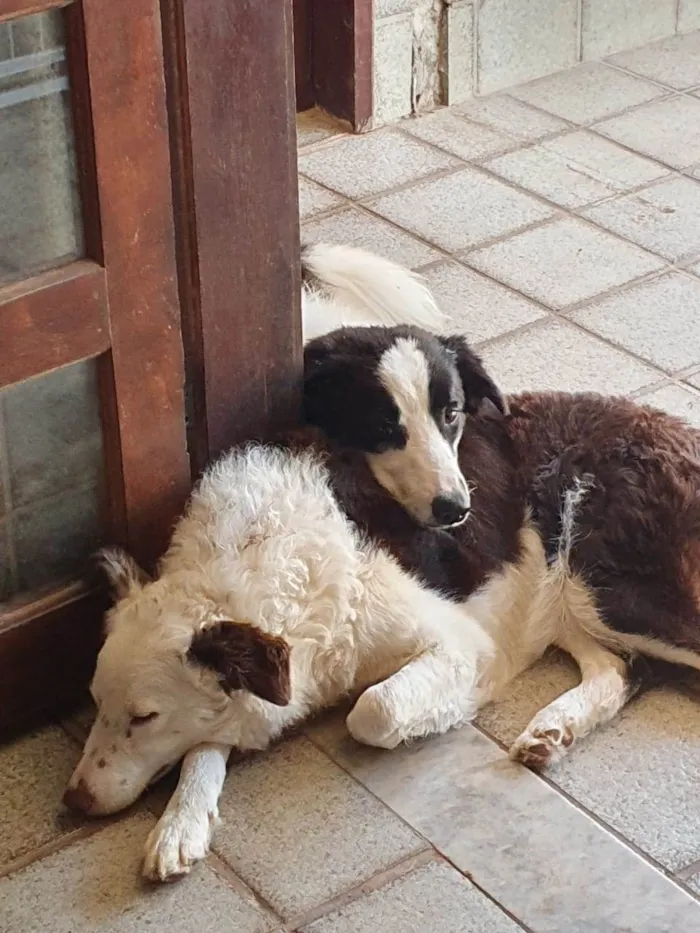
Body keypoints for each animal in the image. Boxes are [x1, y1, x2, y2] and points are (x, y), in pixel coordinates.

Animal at [64, 240, 700, 880]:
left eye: (143, 718)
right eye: (95, 704)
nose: (73, 801)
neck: (271, 559)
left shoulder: (458, 642)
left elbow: (372, 710)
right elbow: (212, 737)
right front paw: (182, 822)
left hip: (607, 587)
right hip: (573, 602)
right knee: (619, 667)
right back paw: (555, 729)